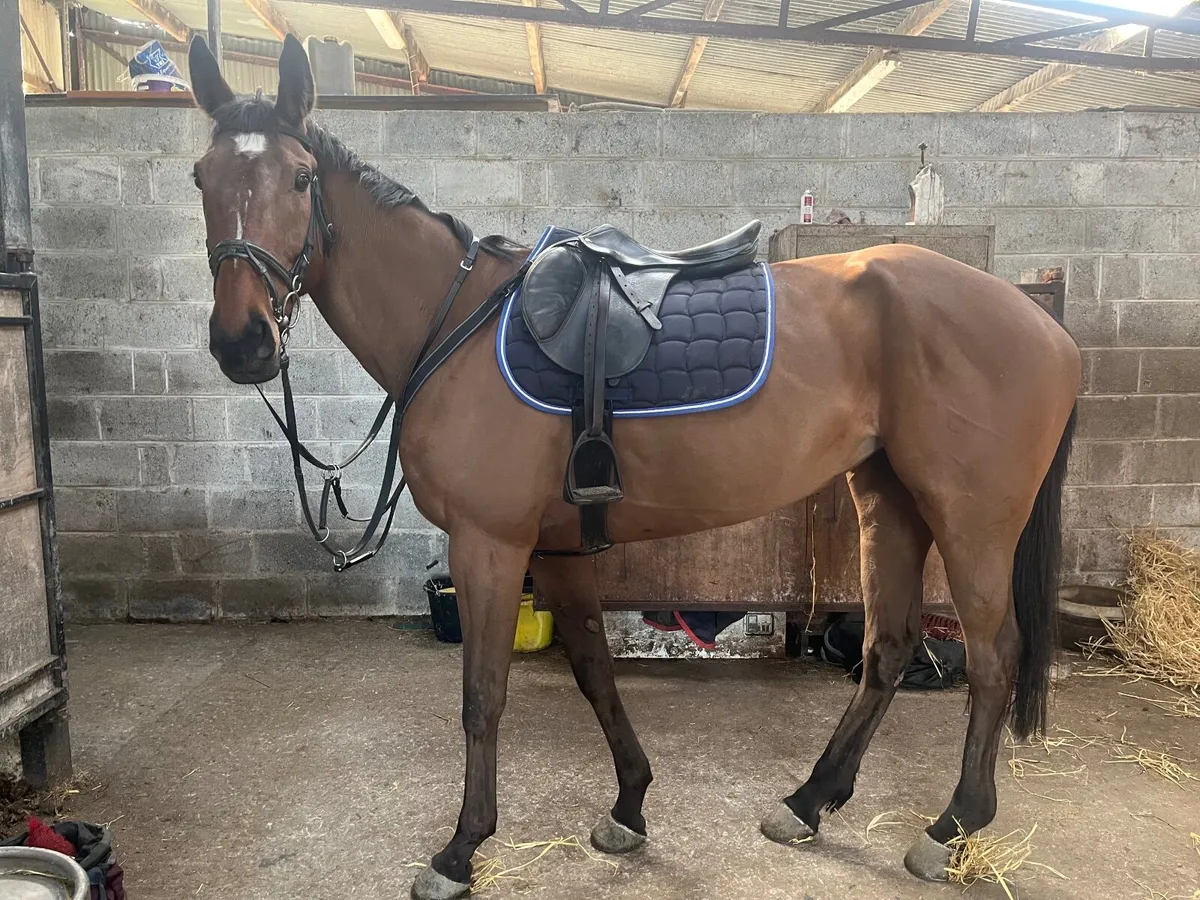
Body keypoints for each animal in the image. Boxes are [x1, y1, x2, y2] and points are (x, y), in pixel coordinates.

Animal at [186, 35, 1080, 900]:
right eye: (202, 176)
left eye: (301, 177)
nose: (242, 342)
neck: (454, 321)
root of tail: (1044, 326)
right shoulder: (555, 549)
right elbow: (593, 673)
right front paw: (628, 806)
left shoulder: (490, 545)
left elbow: (483, 697)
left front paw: (461, 850)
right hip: (888, 501)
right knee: (888, 649)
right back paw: (807, 802)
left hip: (970, 521)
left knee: (994, 659)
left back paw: (949, 829)